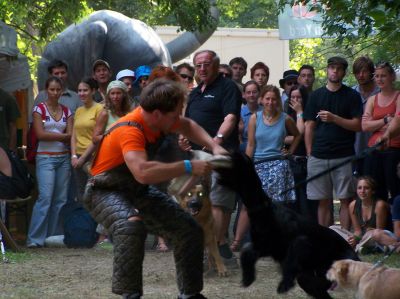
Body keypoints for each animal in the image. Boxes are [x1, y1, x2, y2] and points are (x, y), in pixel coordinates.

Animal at [216, 154, 360, 299]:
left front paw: (285, 283)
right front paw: (248, 278)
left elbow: (294, 254)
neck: (265, 211)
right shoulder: (265, 246)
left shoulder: (299, 243)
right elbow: (246, 251)